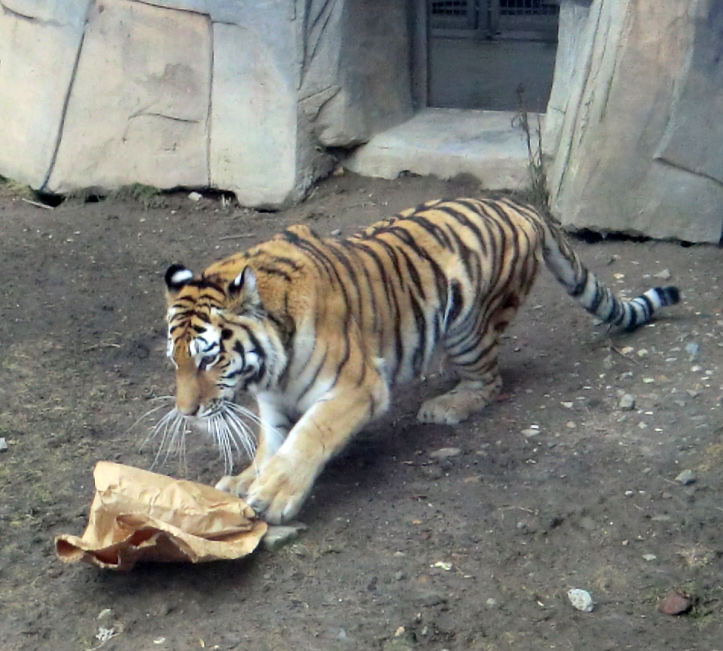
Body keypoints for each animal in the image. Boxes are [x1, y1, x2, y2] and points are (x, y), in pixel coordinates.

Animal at [163, 196, 680, 528]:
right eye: (175, 360)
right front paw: (246, 481)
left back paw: (446, 405)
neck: (271, 367)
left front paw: (274, 494)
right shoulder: (273, 401)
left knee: (490, 380)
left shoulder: (358, 386)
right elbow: (270, 444)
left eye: (209, 359)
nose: (186, 413)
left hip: (468, 322)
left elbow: (309, 437)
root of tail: (522, 204)